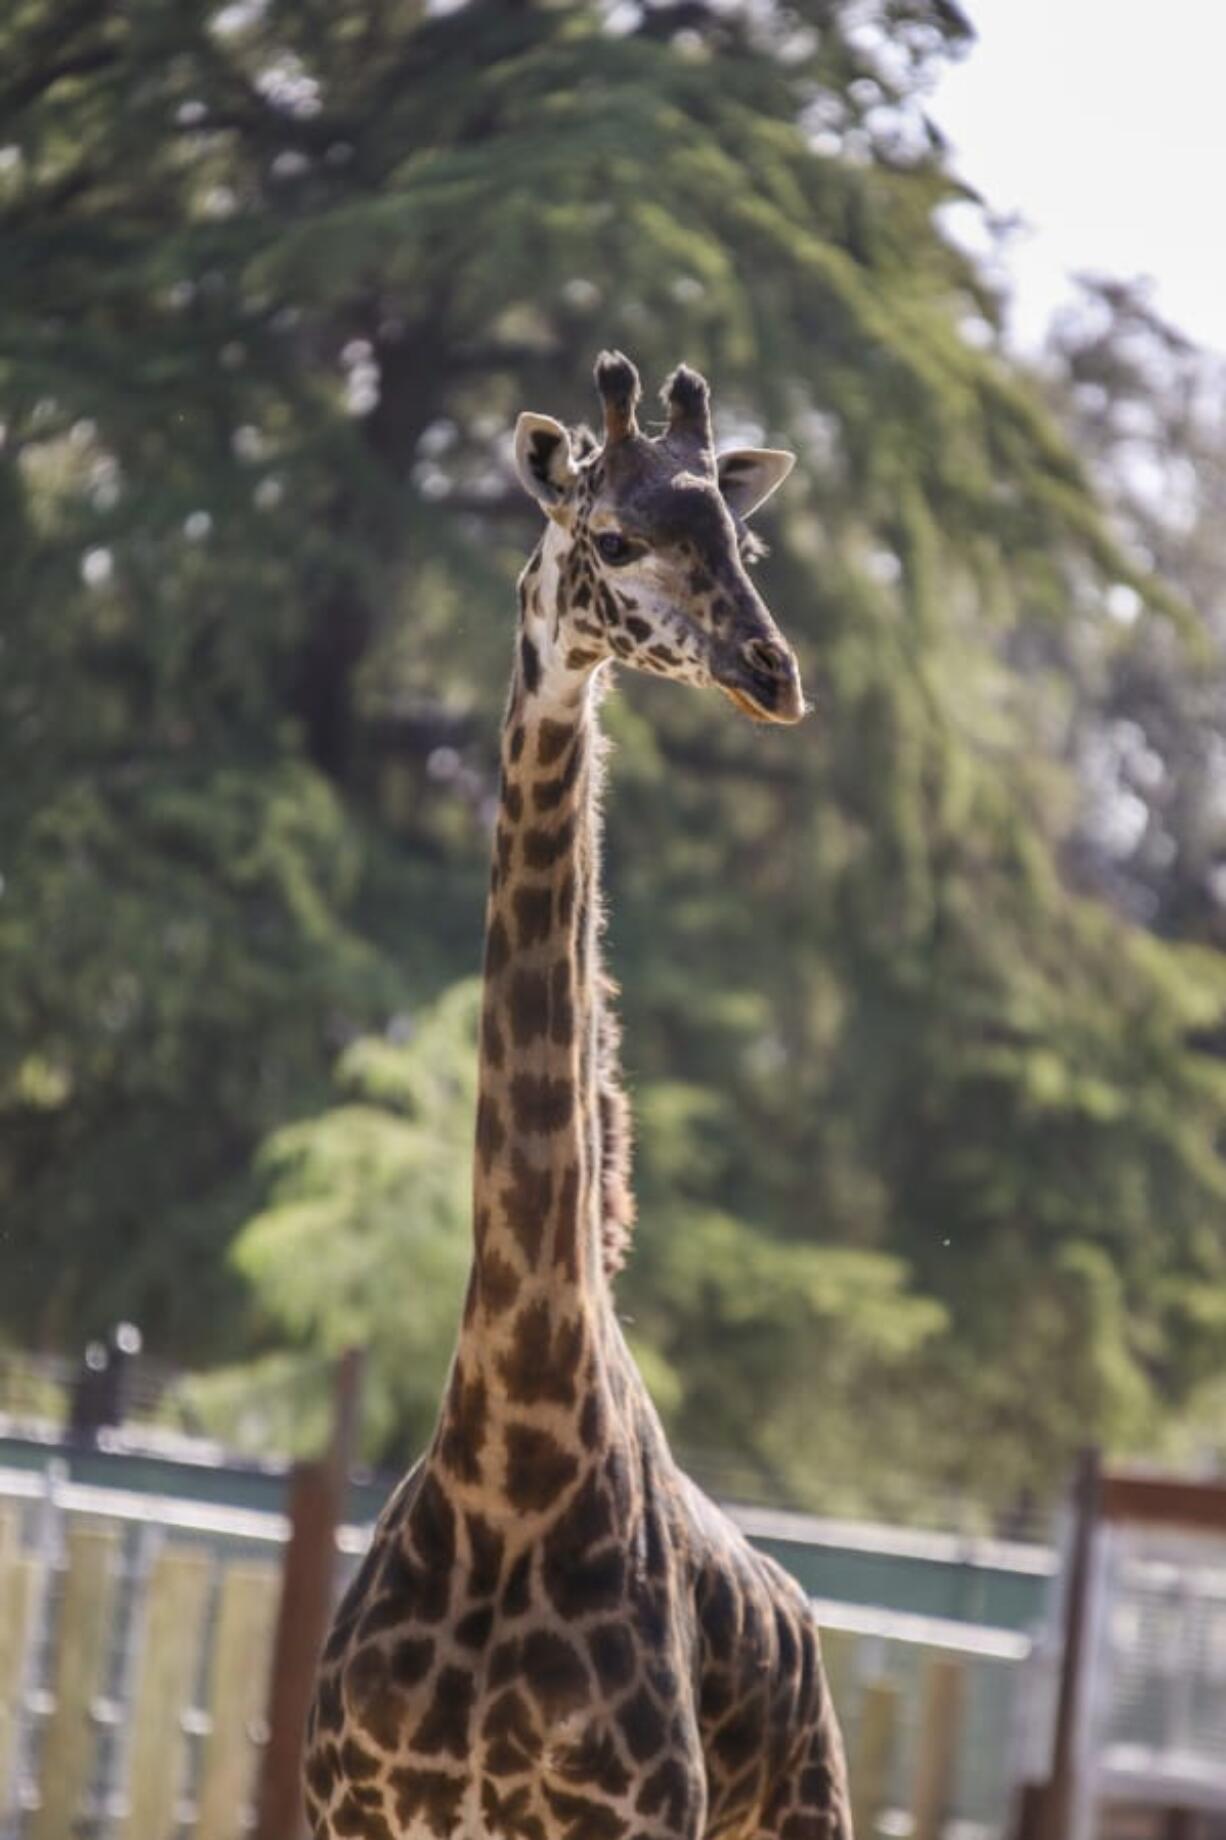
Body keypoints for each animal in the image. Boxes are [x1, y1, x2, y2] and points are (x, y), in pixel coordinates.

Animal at [303, 355, 850, 1840]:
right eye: (611, 537)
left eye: (739, 541)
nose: (774, 673)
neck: (512, 1456)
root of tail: (799, 1618)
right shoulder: (348, 1804)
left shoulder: (632, 1814)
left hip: (811, 1805)